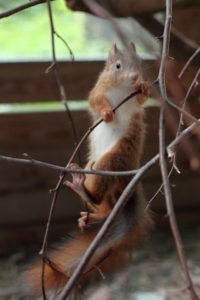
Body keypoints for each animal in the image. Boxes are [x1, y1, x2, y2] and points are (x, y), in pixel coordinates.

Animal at [21, 42, 152, 298]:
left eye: (140, 62)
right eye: (117, 66)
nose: (135, 77)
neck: (122, 89)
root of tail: (128, 176)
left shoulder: (135, 102)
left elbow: (141, 101)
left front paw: (144, 87)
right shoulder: (99, 90)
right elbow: (95, 100)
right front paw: (106, 112)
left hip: (110, 161)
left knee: (100, 196)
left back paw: (83, 192)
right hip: (97, 167)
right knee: (105, 205)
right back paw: (90, 212)